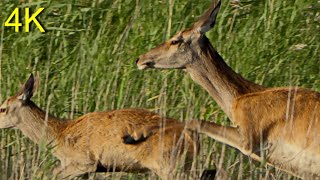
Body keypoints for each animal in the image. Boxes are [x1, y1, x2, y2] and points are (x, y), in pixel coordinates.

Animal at [0, 74, 210, 179]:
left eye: (2, 108)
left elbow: (49, 173)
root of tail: (193, 137)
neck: (58, 134)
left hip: (168, 164)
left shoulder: (84, 162)